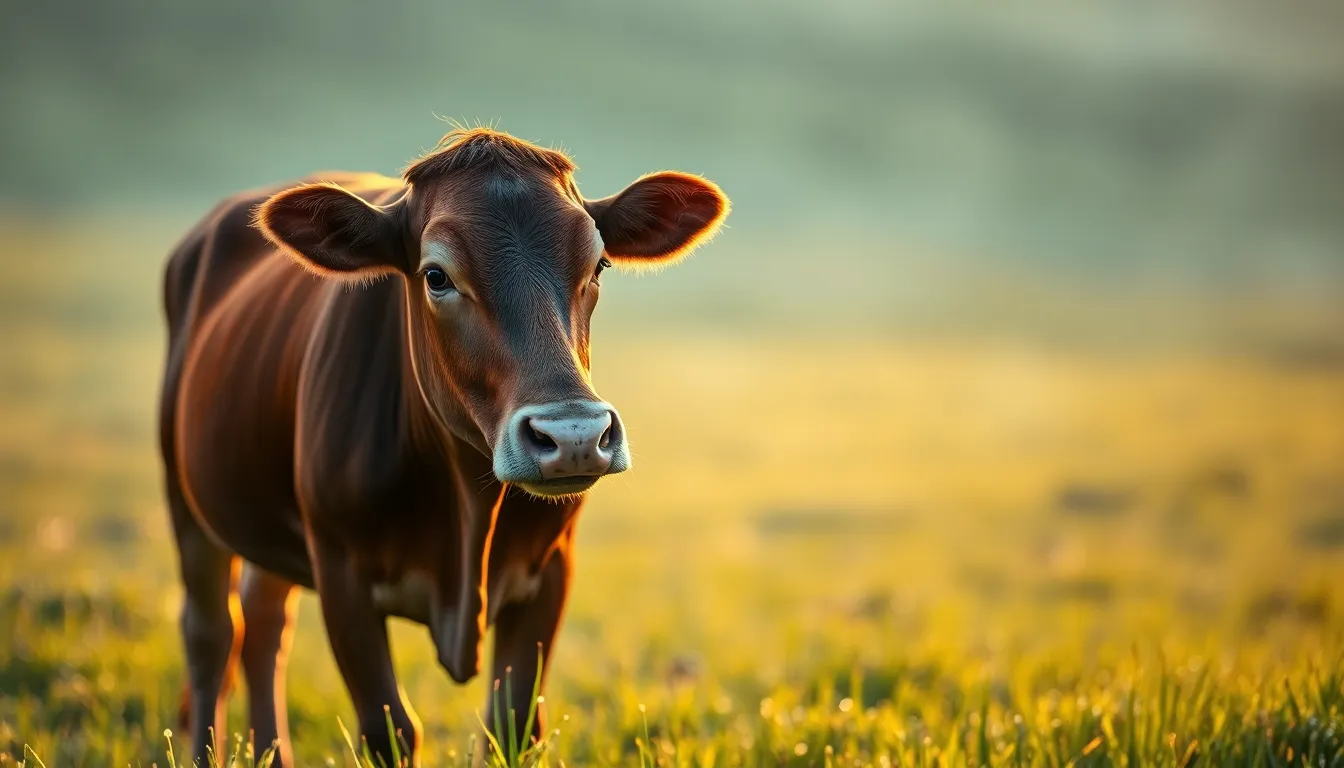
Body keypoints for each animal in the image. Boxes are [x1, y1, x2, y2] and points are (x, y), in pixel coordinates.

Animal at [158, 128, 728, 766]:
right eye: (436, 276)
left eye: (599, 263)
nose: (574, 436)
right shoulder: (340, 572)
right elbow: (390, 728)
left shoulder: (552, 568)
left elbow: (511, 724)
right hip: (185, 497)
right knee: (212, 634)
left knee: (262, 622)